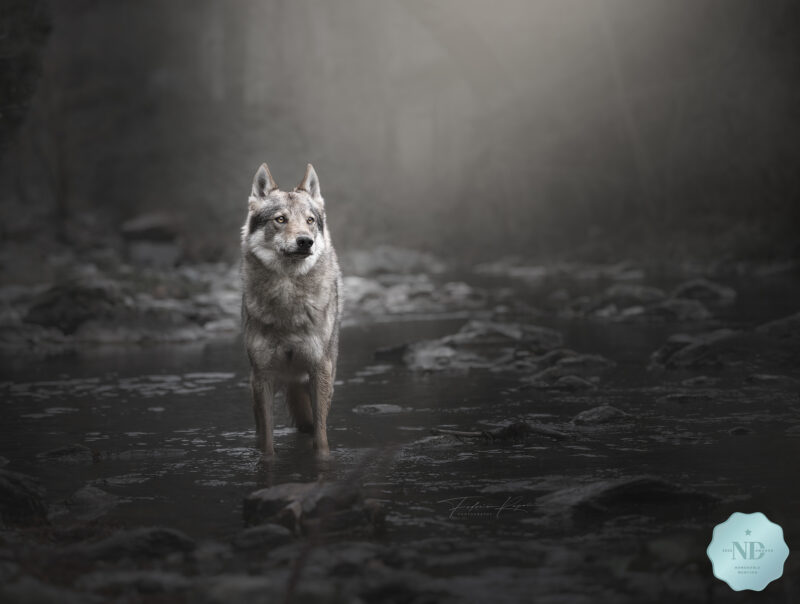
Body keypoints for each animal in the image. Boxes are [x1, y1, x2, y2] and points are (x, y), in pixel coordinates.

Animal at [240, 163, 342, 458]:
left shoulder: (320, 370)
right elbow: (267, 442)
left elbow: (321, 437)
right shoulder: (262, 376)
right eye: (280, 219)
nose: (305, 241)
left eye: (309, 220)